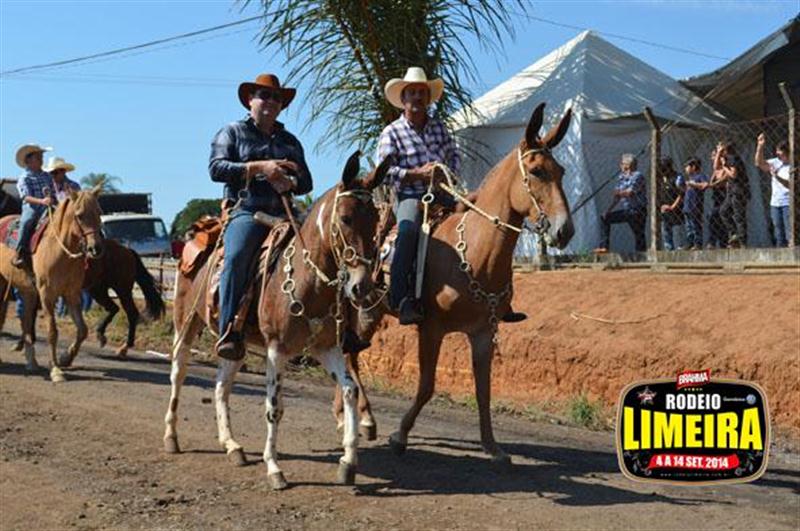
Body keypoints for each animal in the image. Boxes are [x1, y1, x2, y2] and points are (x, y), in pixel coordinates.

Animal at [0, 186, 104, 381]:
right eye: (79, 215)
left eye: (99, 212)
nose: (96, 249)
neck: (60, 252)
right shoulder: (47, 295)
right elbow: (52, 331)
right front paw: (55, 369)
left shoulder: (72, 295)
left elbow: (83, 330)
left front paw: (65, 358)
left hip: (28, 291)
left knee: (26, 321)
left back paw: (31, 361)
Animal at [162, 152, 389, 490]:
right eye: (346, 218)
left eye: (375, 219)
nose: (361, 286)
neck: (310, 281)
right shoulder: (276, 349)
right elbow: (275, 406)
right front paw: (274, 468)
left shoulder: (327, 348)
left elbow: (349, 390)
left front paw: (348, 460)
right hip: (185, 325)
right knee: (178, 374)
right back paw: (172, 436)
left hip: (234, 344)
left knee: (221, 387)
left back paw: (232, 446)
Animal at [336, 103, 574, 466]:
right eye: (536, 171)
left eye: (560, 171)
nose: (565, 230)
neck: (475, 253)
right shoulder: (430, 328)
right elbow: (427, 386)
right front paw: (399, 436)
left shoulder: (483, 332)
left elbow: (483, 390)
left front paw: (493, 447)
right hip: (358, 307)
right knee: (349, 355)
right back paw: (365, 419)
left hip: (368, 312)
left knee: (347, 353)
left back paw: (345, 415)